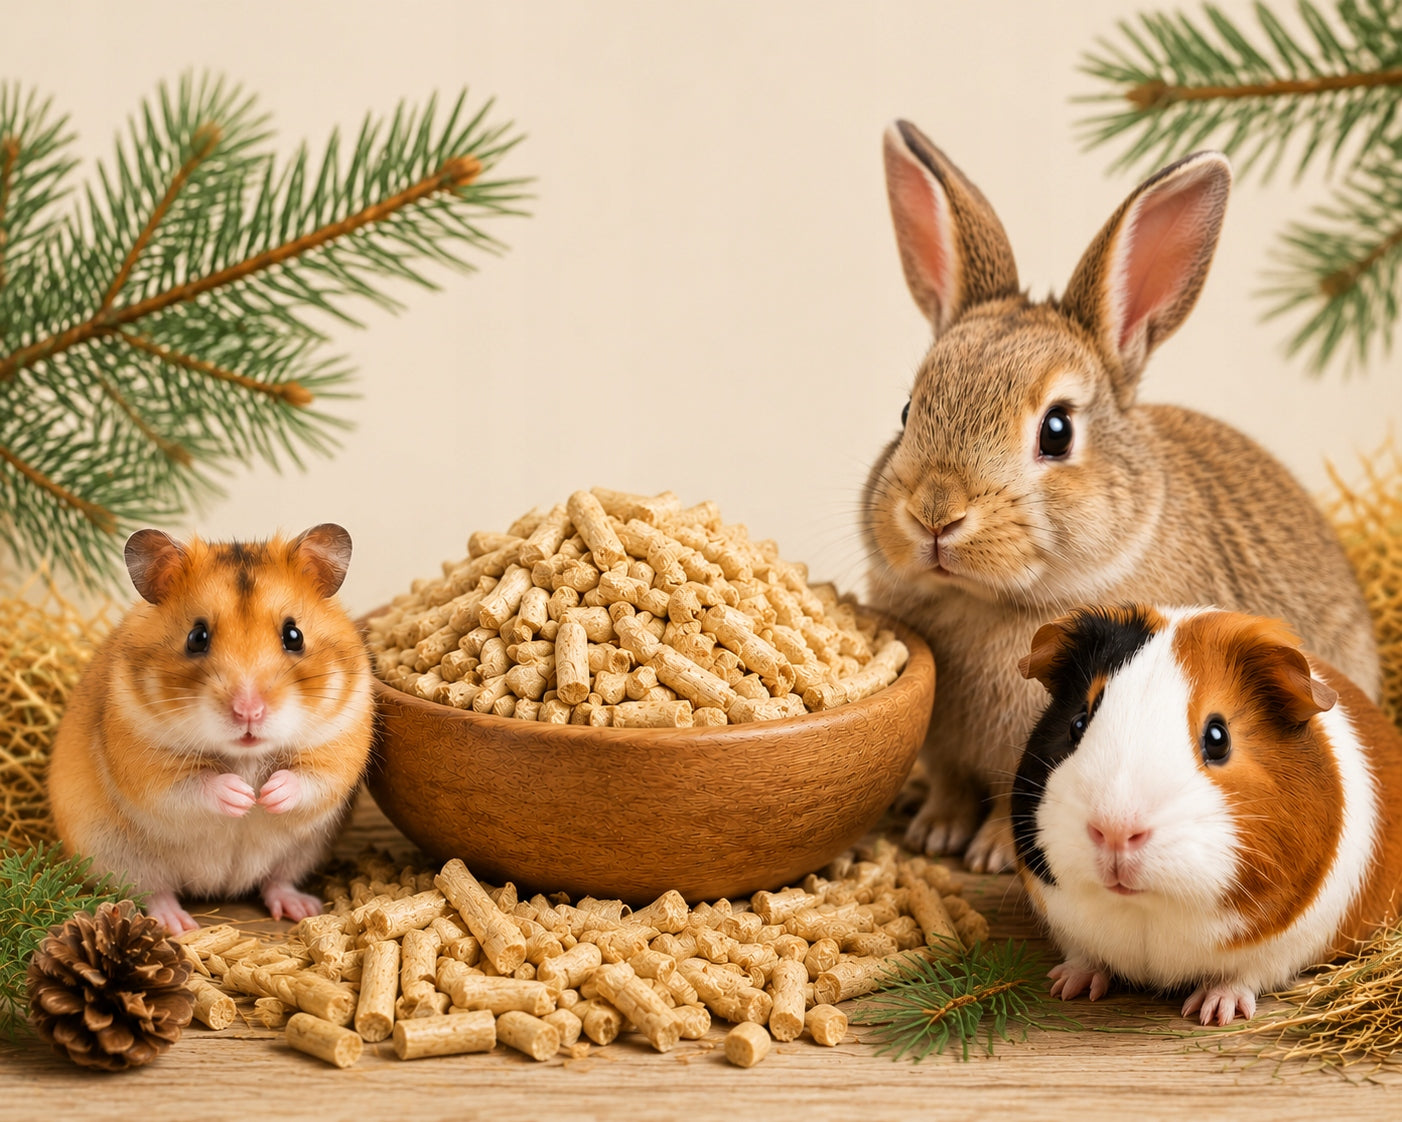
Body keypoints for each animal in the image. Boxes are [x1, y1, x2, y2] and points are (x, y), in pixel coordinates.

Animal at [861, 119, 1381, 872]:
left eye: (1056, 430)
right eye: (907, 412)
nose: (935, 514)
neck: (986, 604)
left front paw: (990, 856)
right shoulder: (950, 754)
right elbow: (955, 788)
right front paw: (935, 833)